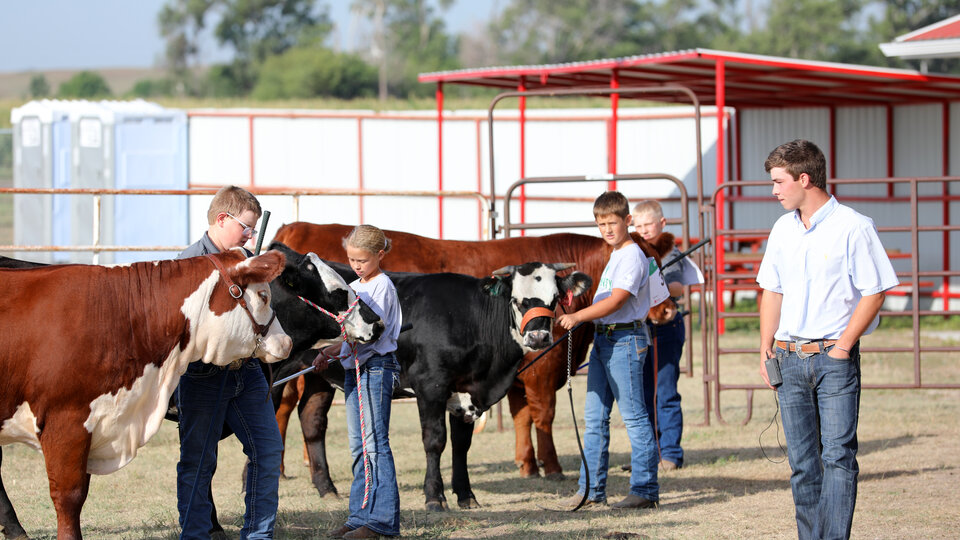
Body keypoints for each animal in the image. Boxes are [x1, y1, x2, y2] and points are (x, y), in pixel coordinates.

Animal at [270, 221, 676, 492]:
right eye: (648, 263)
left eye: (554, 299)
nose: (668, 309)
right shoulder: (530, 374)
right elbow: (539, 414)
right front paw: (551, 468)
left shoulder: (479, 387)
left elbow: (491, 429)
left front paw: (503, 477)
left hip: (320, 376)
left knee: (312, 420)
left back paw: (326, 487)